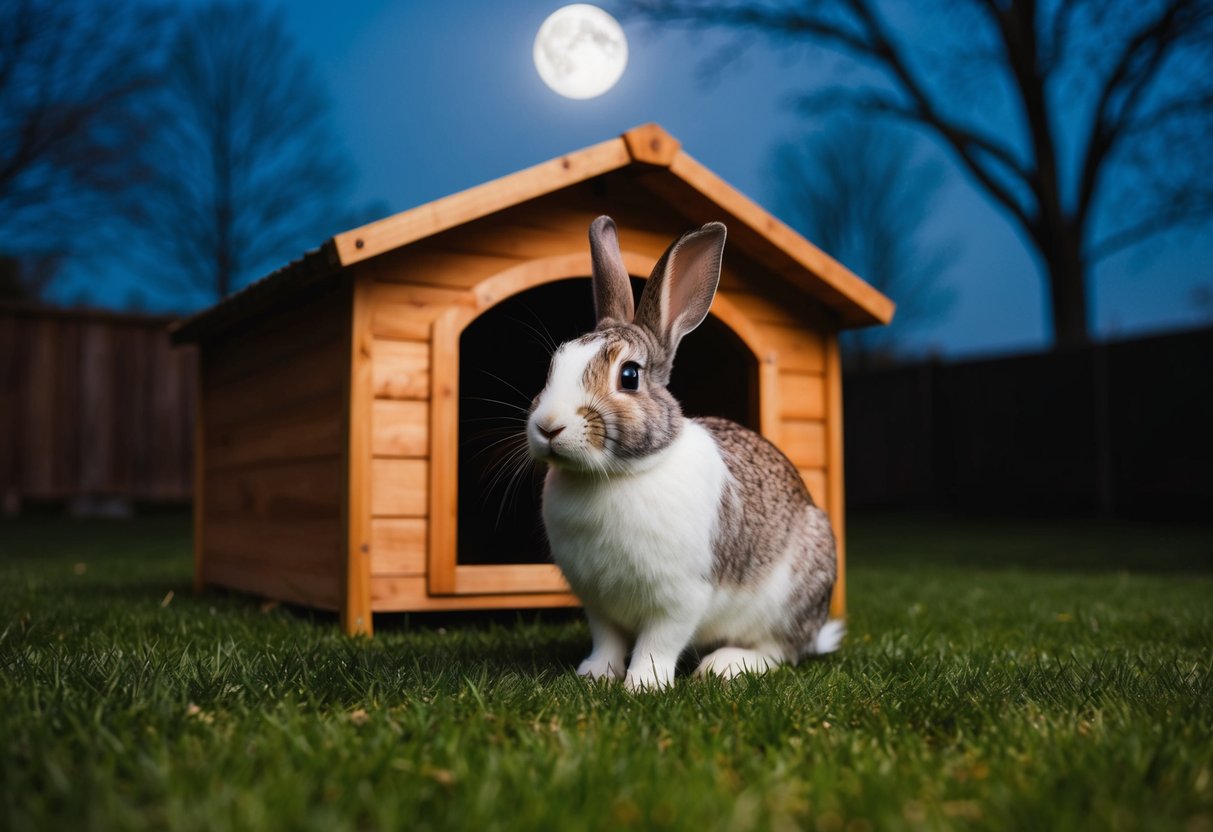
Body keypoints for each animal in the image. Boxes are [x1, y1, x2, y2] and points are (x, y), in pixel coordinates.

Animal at [526, 215, 843, 690]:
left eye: (630, 376)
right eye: (552, 366)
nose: (548, 426)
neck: (618, 474)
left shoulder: (679, 598)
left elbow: (658, 643)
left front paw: (643, 685)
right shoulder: (597, 602)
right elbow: (607, 641)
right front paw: (595, 675)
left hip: (791, 596)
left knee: (781, 650)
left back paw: (725, 665)